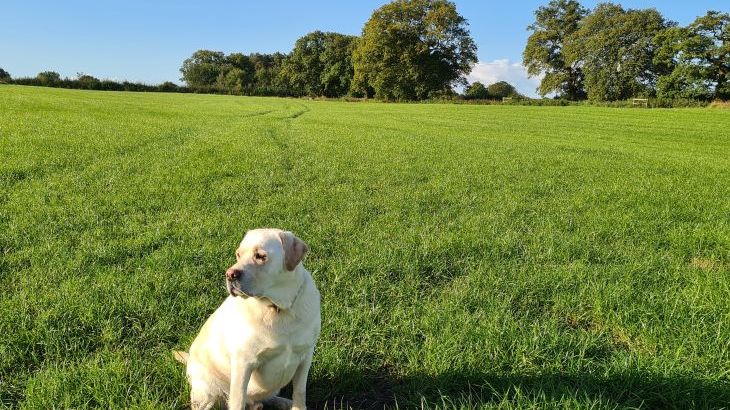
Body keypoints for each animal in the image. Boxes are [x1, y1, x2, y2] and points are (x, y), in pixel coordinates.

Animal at [175, 229, 320, 408]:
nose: (229, 274)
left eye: (260, 256)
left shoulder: (305, 356)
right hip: (207, 392)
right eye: (238, 254)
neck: (279, 309)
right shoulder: (243, 363)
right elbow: (238, 401)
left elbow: (300, 393)